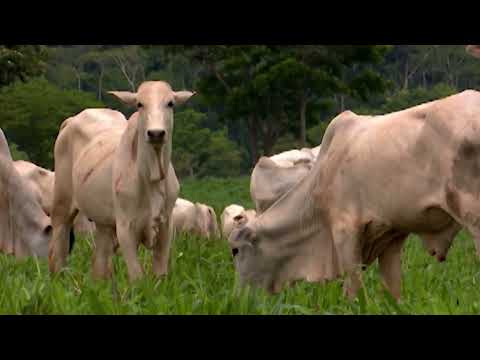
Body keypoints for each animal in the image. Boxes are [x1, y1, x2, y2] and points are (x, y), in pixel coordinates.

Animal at [48, 82, 195, 282]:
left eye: (170, 103)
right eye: (140, 104)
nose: (156, 133)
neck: (152, 178)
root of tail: (70, 121)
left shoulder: (166, 226)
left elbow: (160, 273)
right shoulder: (126, 227)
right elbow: (137, 276)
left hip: (103, 223)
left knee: (99, 262)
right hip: (62, 204)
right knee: (59, 245)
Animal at [228, 90, 480, 300]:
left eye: (235, 251)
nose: (237, 299)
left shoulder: (344, 231)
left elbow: (352, 289)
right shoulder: (391, 236)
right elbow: (392, 290)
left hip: (473, 216)